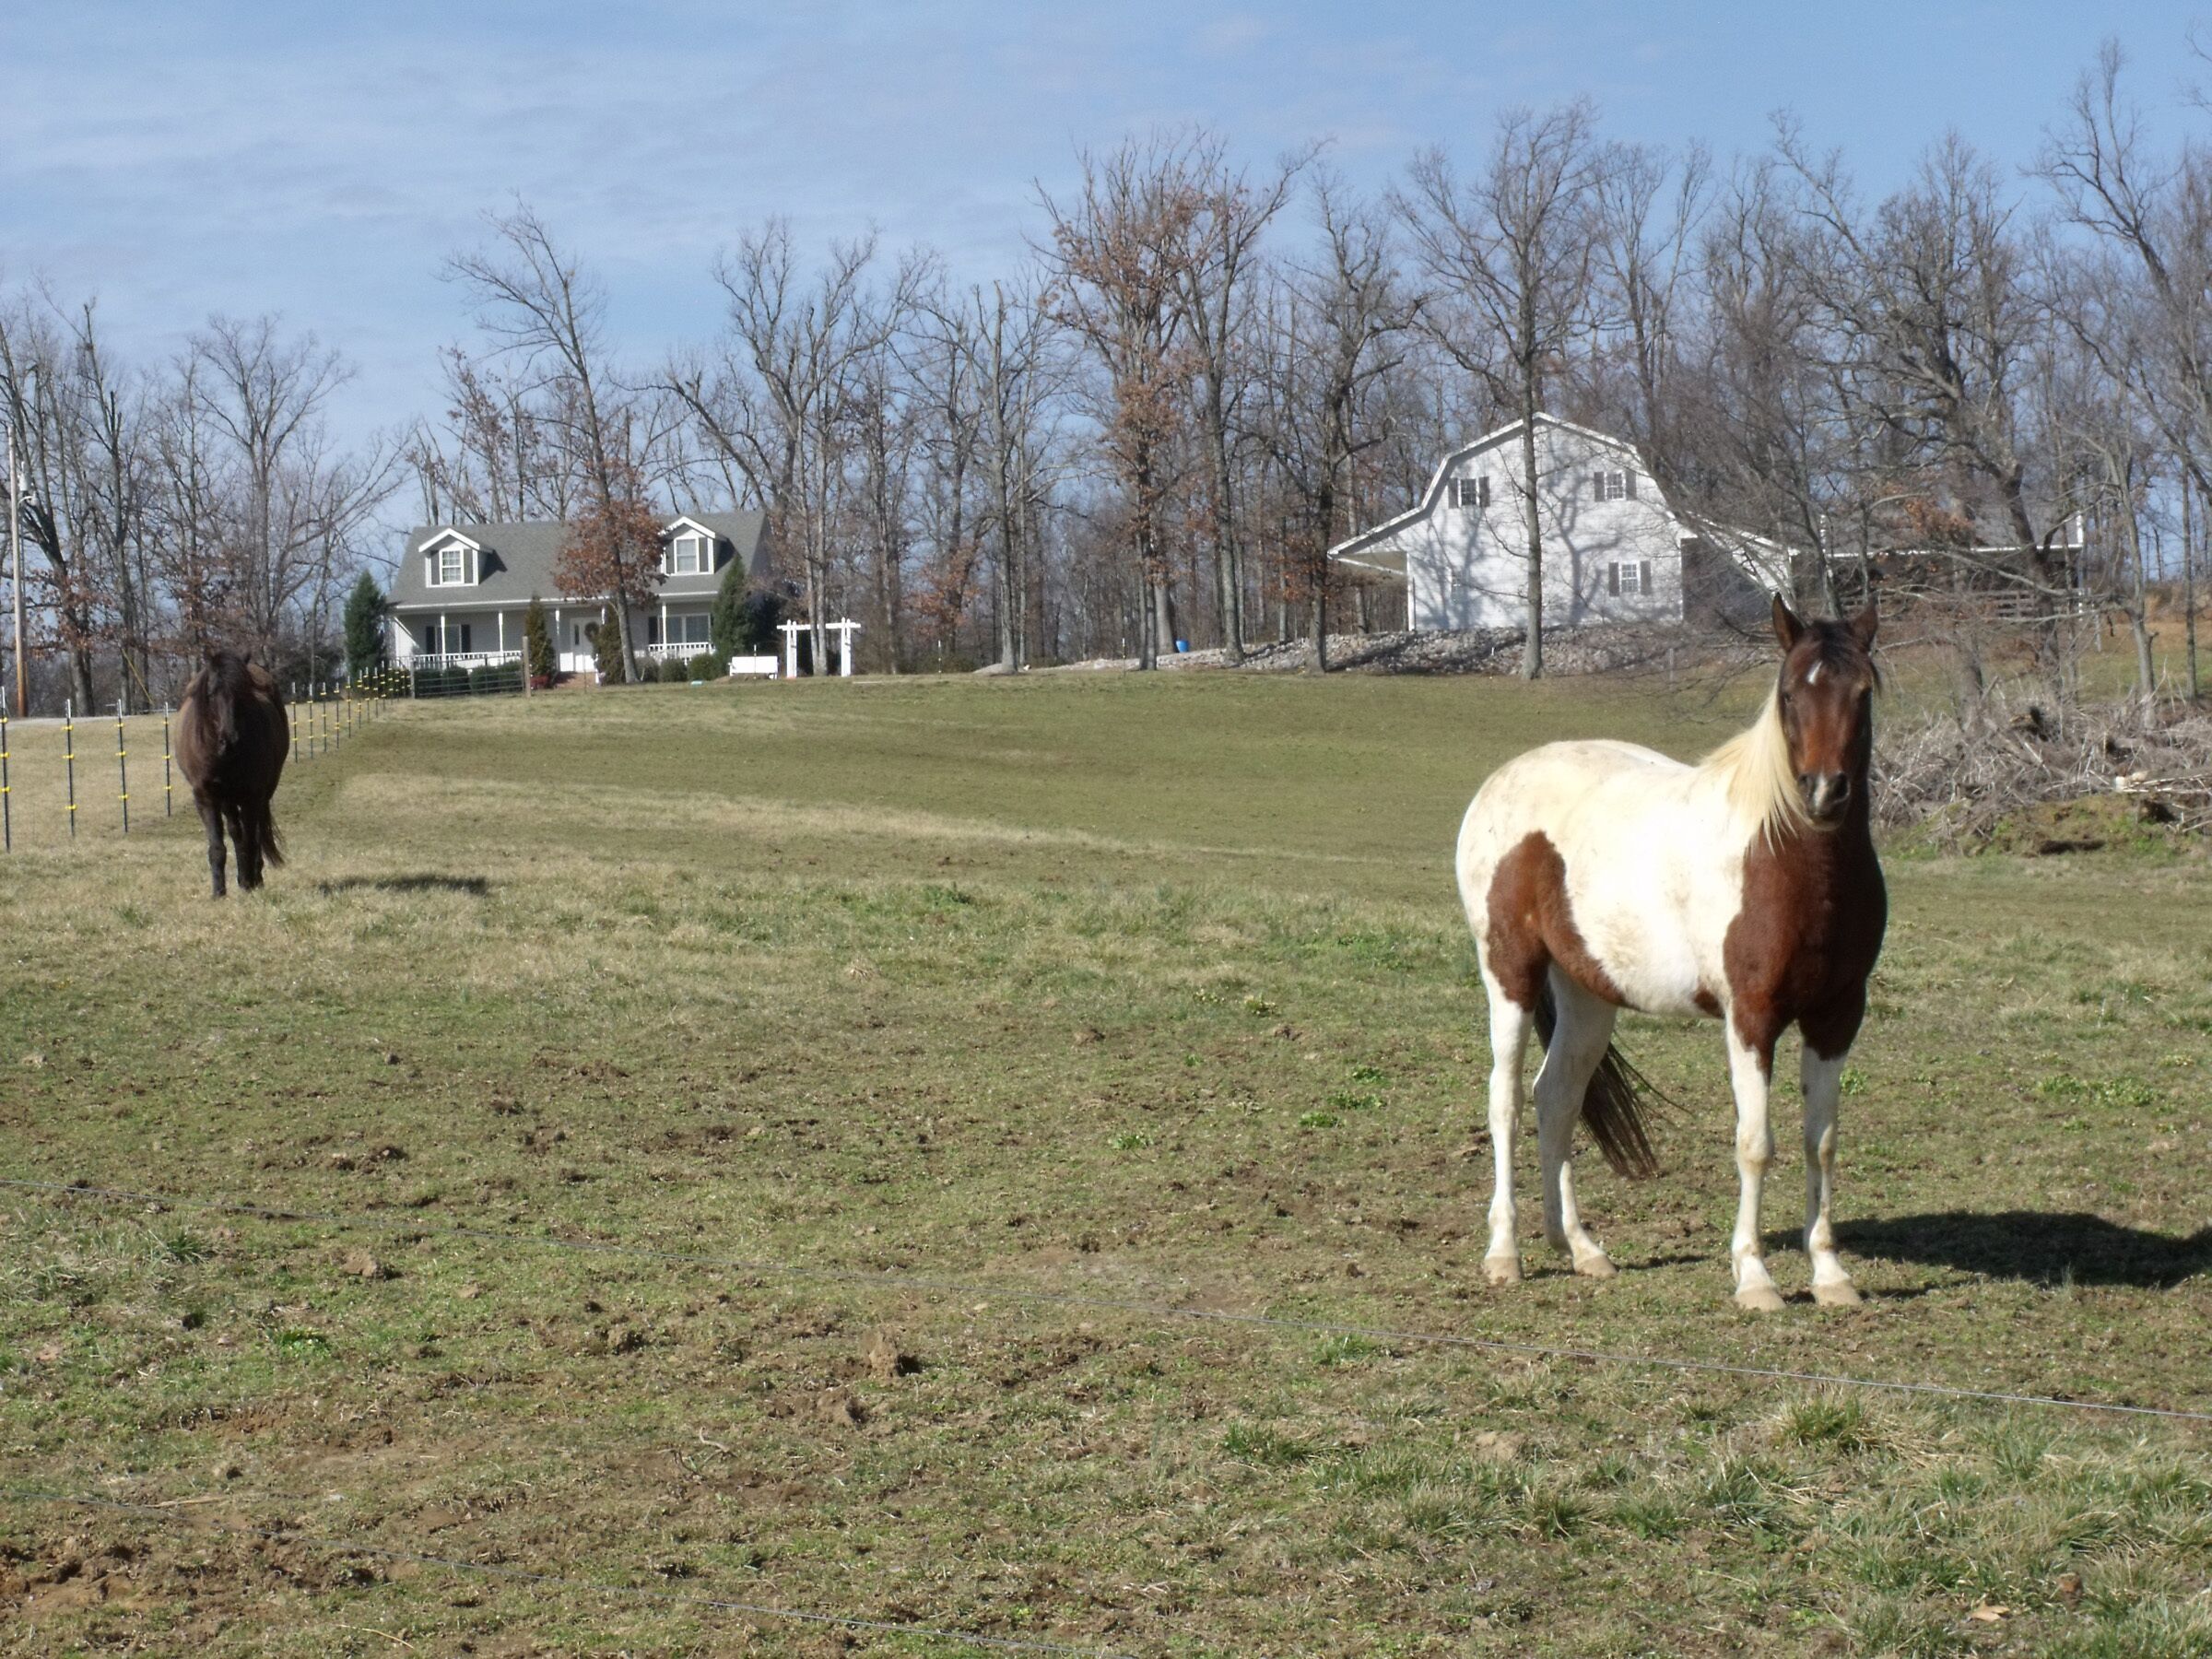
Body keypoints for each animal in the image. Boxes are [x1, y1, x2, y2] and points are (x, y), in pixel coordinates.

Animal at [173, 650, 289, 898]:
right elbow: (218, 846)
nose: (230, 741)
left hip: (260, 795)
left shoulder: (251, 797)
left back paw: (253, 877)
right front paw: (219, 891)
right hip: (227, 799)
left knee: (253, 834)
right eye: (211, 693)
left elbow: (251, 841)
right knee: (237, 833)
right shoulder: (206, 797)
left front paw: (249, 882)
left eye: (242, 693)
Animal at [1455, 597, 1884, 1311]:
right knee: (1507, 1100)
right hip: (1510, 974)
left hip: (1586, 996)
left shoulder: (1836, 1017)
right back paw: (1503, 1255)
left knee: (1556, 1097)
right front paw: (1755, 1278)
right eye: (1789, 693)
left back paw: (1580, 1249)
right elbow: (1755, 1144)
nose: (1825, 793)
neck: (1787, 857)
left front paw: (1830, 1275)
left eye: (1864, 692)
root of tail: (1500, 780)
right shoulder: (1751, 1018)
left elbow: (1820, 1143)